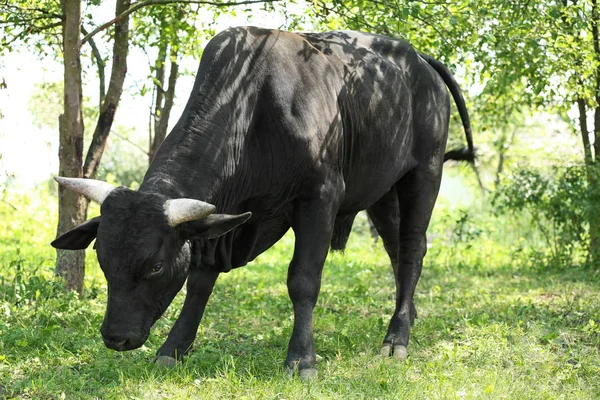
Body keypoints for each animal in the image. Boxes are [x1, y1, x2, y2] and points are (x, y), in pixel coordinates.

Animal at [51, 26, 474, 376]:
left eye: (155, 266)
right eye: (102, 258)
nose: (115, 337)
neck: (252, 110)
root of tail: (420, 60)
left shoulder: (319, 197)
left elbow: (303, 280)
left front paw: (301, 359)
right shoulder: (220, 227)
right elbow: (199, 282)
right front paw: (173, 348)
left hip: (425, 173)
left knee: (413, 247)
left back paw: (397, 337)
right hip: (382, 191)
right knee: (395, 248)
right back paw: (409, 313)